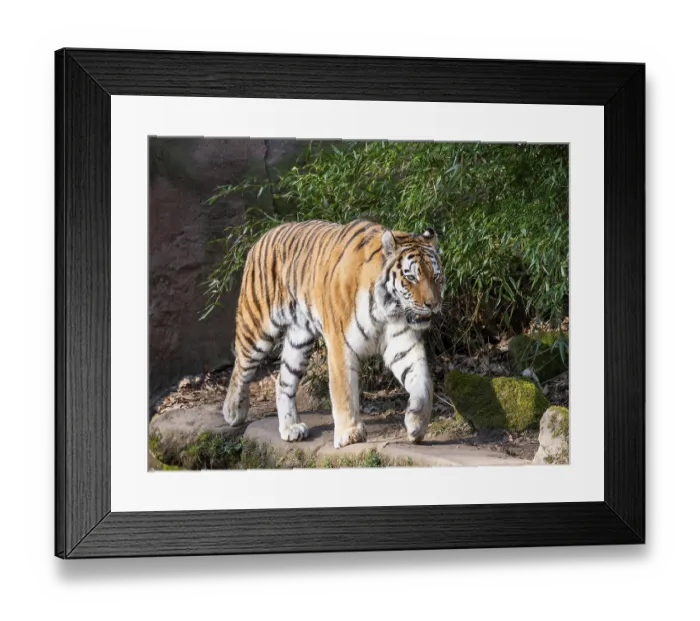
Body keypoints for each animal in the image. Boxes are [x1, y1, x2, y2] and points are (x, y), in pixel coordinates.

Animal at [222, 218, 444, 448]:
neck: (388, 310)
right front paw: (350, 433)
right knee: (240, 367)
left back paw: (291, 428)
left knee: (283, 381)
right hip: (257, 328)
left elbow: (423, 383)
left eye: (436, 276)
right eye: (411, 277)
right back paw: (233, 411)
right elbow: (343, 390)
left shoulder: (402, 343)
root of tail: (263, 235)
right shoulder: (340, 343)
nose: (433, 304)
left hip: (299, 342)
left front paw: (416, 423)